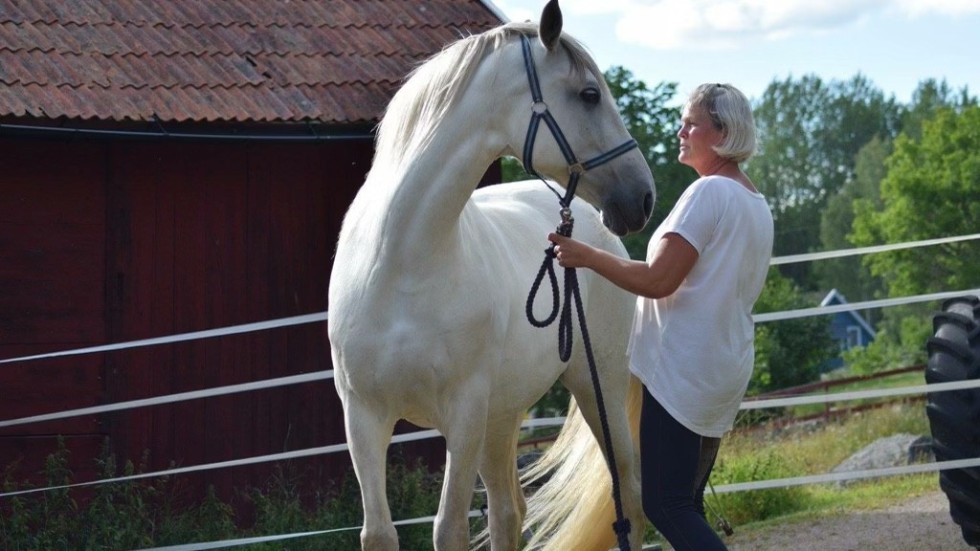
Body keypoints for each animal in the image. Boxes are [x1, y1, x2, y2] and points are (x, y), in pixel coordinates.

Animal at [332, 2, 660, 548]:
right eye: (589, 94)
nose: (642, 197)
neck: (401, 264)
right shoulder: (363, 417)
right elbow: (378, 532)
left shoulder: (463, 413)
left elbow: (448, 528)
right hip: (502, 417)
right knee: (509, 512)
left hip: (599, 388)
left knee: (629, 499)